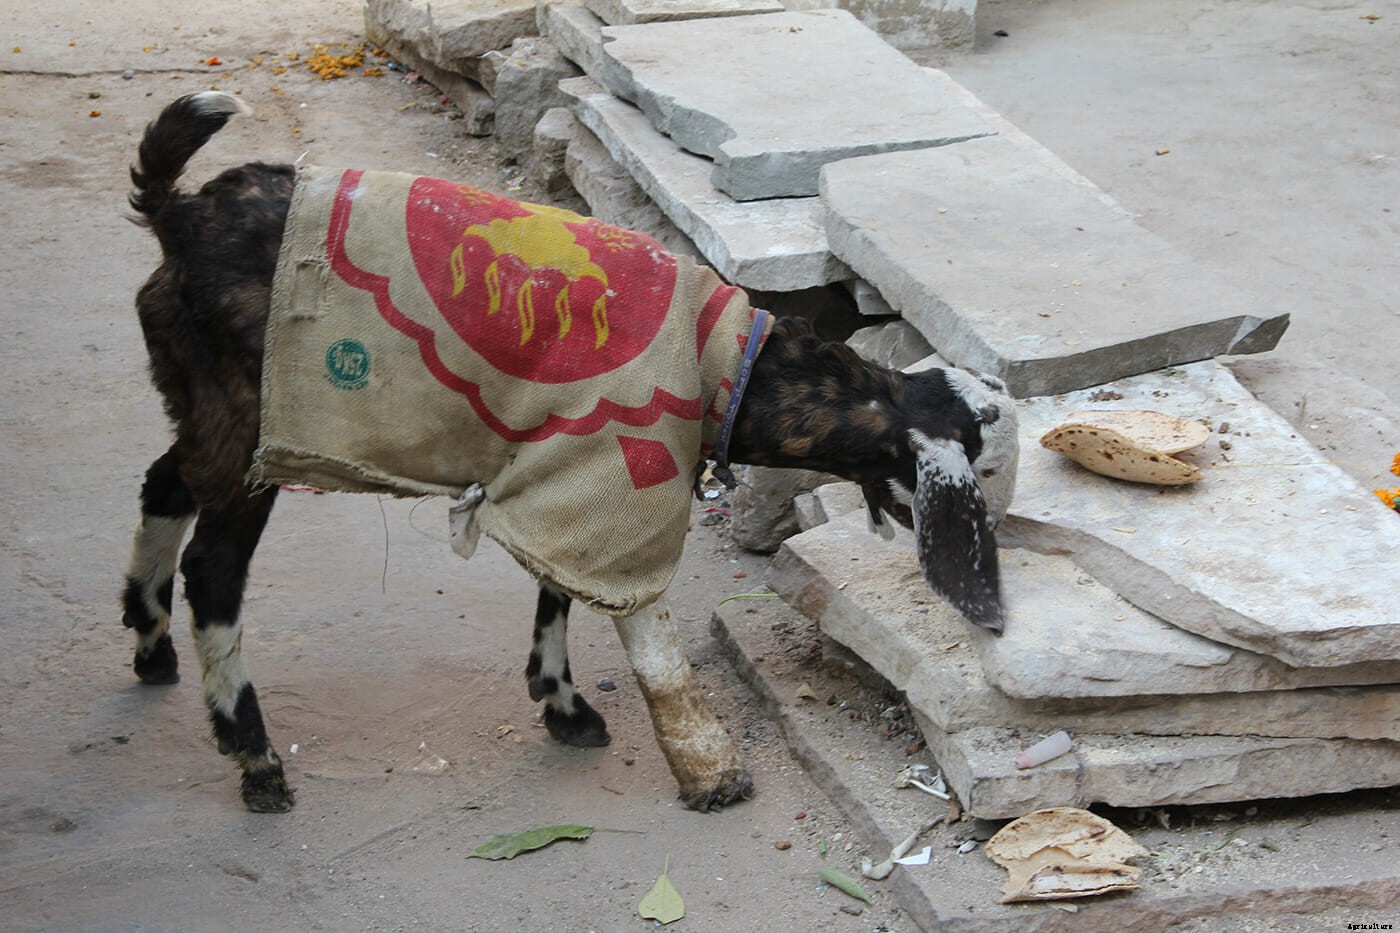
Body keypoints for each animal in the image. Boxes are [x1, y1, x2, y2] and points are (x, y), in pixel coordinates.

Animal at [121, 92, 1019, 814]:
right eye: (985, 460)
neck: (726, 363)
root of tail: (178, 216)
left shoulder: (564, 471)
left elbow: (557, 586)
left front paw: (561, 703)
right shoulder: (612, 466)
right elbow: (639, 625)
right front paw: (711, 771)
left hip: (200, 399)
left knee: (164, 482)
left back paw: (150, 643)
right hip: (250, 423)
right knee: (215, 570)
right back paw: (256, 759)